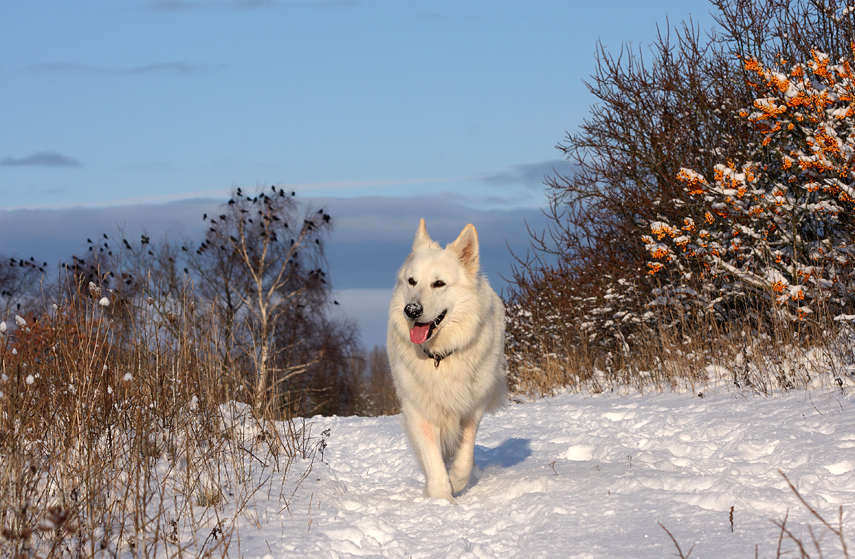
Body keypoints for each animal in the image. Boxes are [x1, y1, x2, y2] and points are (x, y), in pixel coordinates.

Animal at [390, 219, 508, 504]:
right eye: (411, 281)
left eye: (439, 283)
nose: (411, 310)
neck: (440, 357)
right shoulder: (419, 411)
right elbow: (434, 463)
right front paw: (442, 501)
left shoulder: (471, 409)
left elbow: (464, 457)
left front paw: (457, 481)